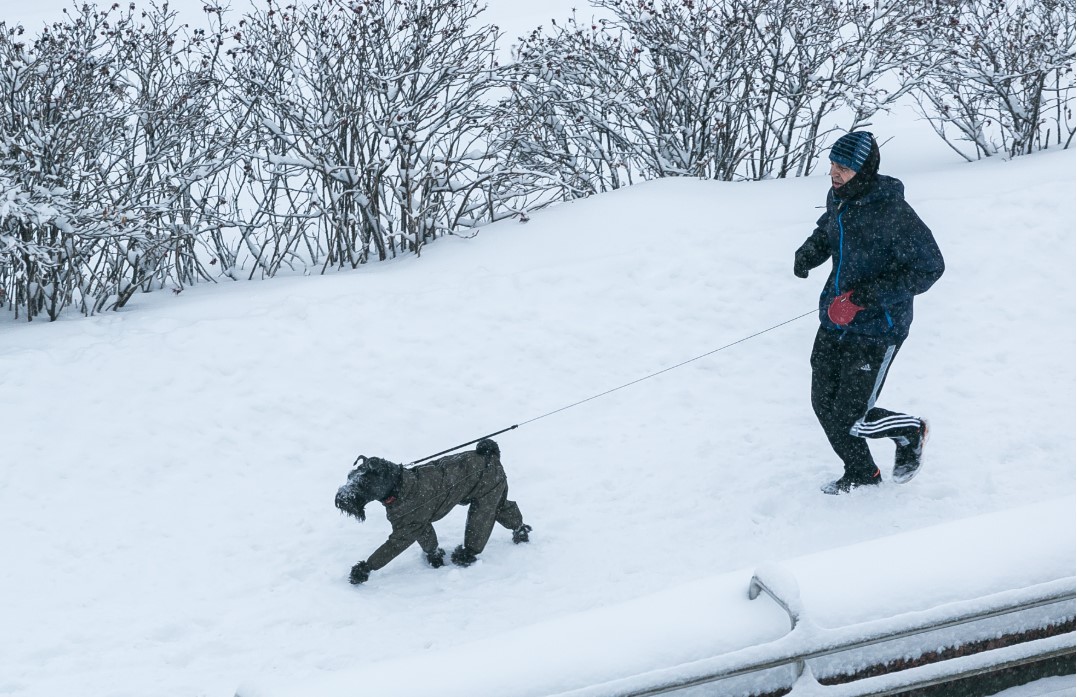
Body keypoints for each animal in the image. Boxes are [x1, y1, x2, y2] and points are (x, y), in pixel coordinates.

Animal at [329, 439, 527, 586]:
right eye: (349, 476)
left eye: (362, 483)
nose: (341, 498)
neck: (398, 487)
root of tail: (491, 455)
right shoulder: (420, 525)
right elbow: (430, 543)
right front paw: (436, 560)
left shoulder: (405, 531)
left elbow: (383, 553)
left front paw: (361, 571)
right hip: (494, 495)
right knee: (509, 511)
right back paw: (521, 534)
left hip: (485, 501)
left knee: (479, 528)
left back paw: (464, 556)